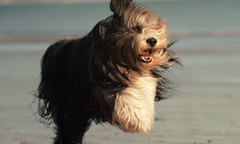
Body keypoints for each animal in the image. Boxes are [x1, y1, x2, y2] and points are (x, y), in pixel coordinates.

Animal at [35, 0, 179, 143]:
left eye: (156, 29)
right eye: (136, 28)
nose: (153, 40)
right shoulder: (102, 87)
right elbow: (125, 95)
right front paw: (137, 121)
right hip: (69, 104)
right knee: (68, 130)